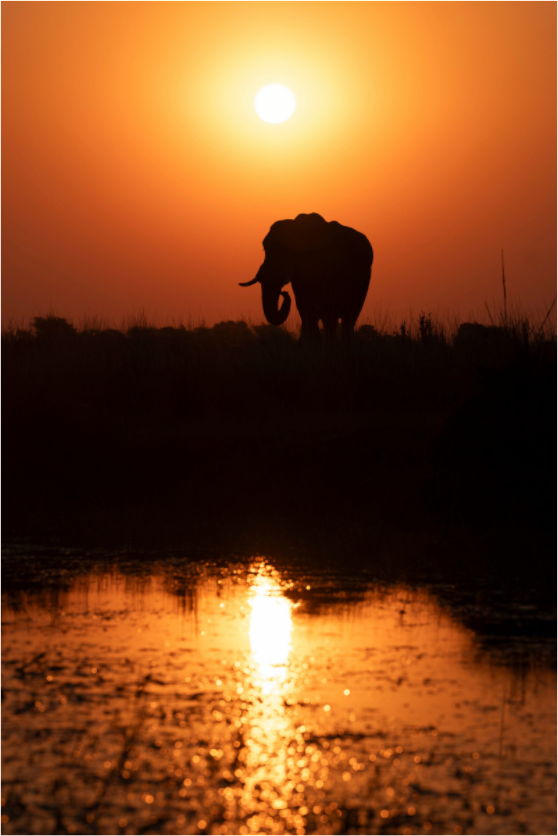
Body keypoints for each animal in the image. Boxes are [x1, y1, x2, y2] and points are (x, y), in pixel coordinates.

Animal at [239, 213, 373, 343]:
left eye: (287, 251)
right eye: (264, 248)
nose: (284, 293)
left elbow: (324, 310)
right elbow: (304, 308)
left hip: (363, 280)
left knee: (347, 315)